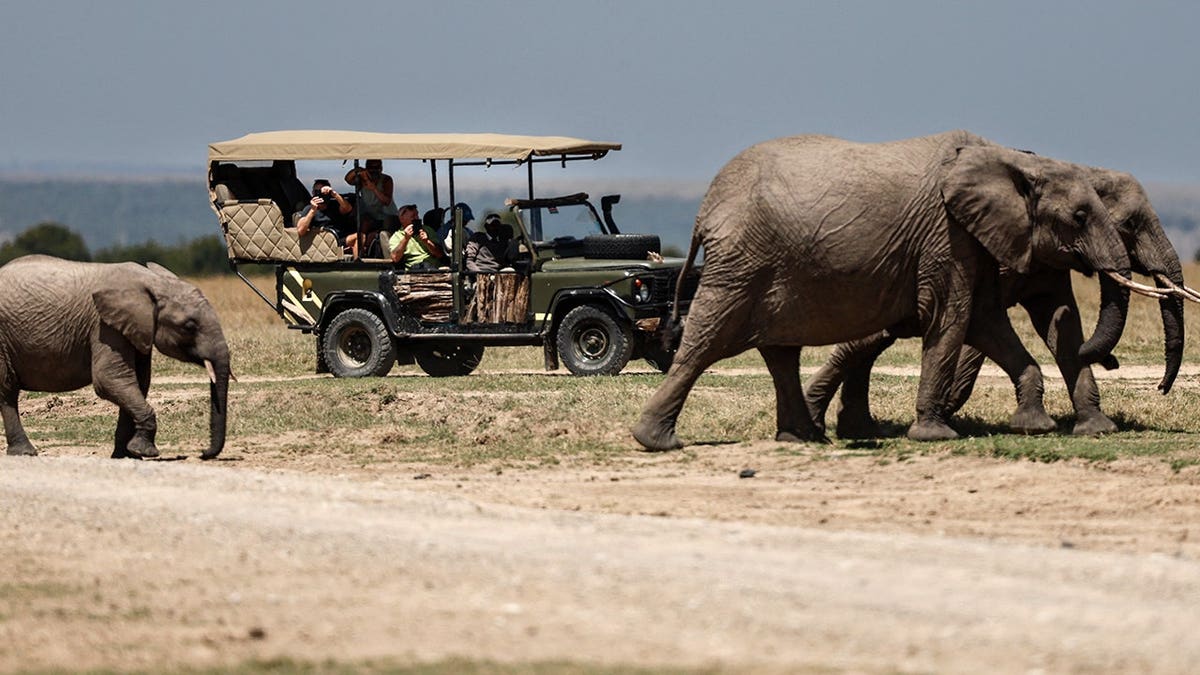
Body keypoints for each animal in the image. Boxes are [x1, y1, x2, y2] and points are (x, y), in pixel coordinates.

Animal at [0, 255, 231, 459]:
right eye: (189, 326)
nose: (203, 453)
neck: (153, 282)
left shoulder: (136, 329)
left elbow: (137, 383)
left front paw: (127, 455)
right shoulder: (104, 326)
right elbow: (110, 379)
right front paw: (145, 452)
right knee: (7, 390)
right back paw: (25, 453)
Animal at [633, 130, 1137, 451]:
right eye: (1079, 217)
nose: (1110, 359)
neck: (1014, 160)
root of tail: (705, 209)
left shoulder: (969, 242)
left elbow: (985, 320)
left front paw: (1041, 426)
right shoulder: (945, 235)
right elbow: (949, 318)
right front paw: (936, 437)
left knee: (780, 352)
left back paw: (804, 439)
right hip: (742, 261)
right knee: (706, 342)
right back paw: (656, 442)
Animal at [804, 166, 1193, 438]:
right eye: (1130, 224)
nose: (1160, 388)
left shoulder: (1049, 262)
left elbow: (1060, 323)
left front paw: (1096, 427)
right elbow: (977, 330)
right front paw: (950, 410)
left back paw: (854, 428)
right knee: (869, 340)